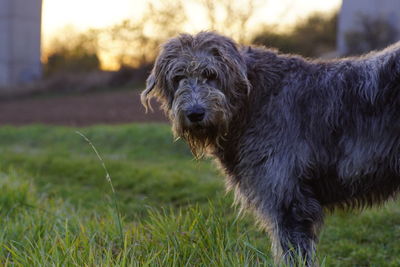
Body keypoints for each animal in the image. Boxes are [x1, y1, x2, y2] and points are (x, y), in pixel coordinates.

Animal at [141, 32, 400, 266]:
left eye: (211, 74)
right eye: (178, 77)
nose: (195, 113)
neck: (253, 99)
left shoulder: (288, 201)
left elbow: (294, 254)